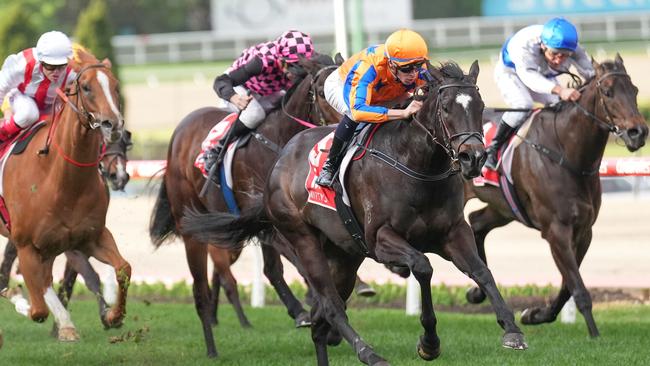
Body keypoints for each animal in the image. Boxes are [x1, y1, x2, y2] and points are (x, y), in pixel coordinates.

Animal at [0, 48, 130, 340]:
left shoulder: (90, 237)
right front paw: (16, 296)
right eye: (86, 87)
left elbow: (122, 268)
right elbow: (37, 309)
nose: (113, 124)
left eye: (116, 86)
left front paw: (113, 315)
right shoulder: (27, 244)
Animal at [147, 55, 340, 358]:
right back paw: (211, 348)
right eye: (322, 92)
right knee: (200, 289)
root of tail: (178, 133)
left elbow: (281, 266)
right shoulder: (268, 219)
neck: (279, 142)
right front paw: (312, 302)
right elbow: (296, 261)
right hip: (190, 226)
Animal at [182, 61, 528, 364]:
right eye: (445, 108)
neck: (417, 166)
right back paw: (369, 353)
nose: (474, 158)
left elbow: (482, 271)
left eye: (480, 106)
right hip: (304, 239)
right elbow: (423, 266)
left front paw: (512, 330)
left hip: (344, 256)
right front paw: (429, 343)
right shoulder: (381, 239)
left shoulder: (453, 232)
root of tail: (279, 162)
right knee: (331, 305)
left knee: (322, 320)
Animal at [464, 54, 644, 338]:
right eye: (608, 92)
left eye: (635, 90)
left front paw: (535, 314)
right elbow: (578, 288)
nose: (639, 132)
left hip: (502, 207)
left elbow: (568, 286)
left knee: (477, 222)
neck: (568, 153)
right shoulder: (556, 231)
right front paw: (595, 336)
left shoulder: (583, 230)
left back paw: (477, 292)